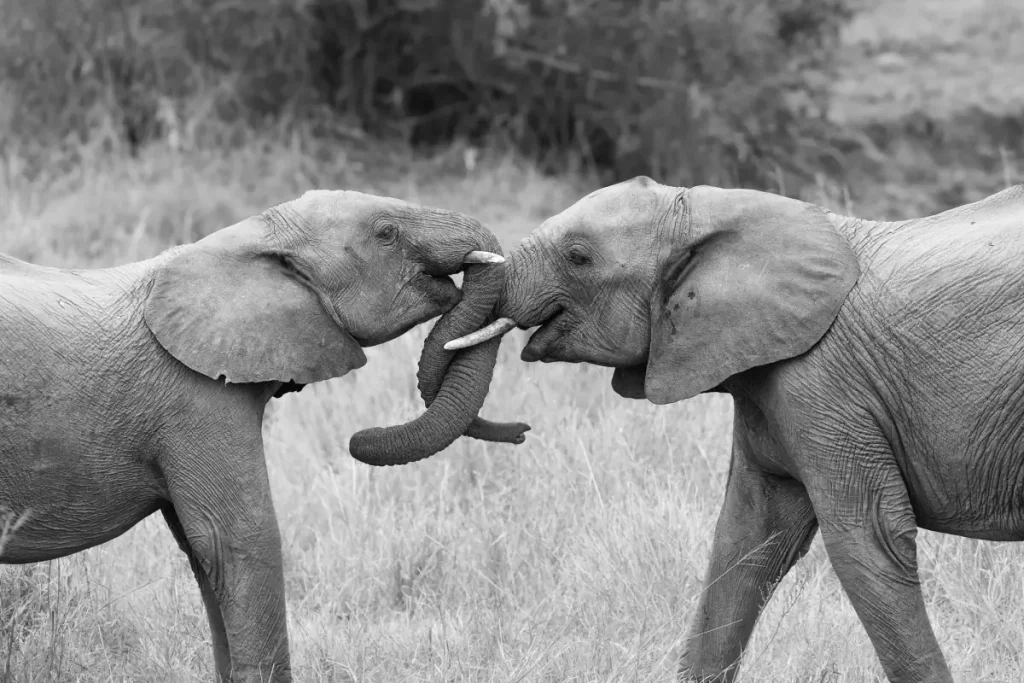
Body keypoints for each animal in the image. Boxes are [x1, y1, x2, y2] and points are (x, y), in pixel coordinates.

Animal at [0, 188, 528, 683]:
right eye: (386, 234)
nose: (522, 431)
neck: (248, 236)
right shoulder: (195, 398)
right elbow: (238, 541)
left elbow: (205, 556)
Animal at [450, 178, 1024, 683]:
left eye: (577, 256)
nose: (521, 431)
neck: (712, 211)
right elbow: (746, 542)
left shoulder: (824, 387)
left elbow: (867, 542)